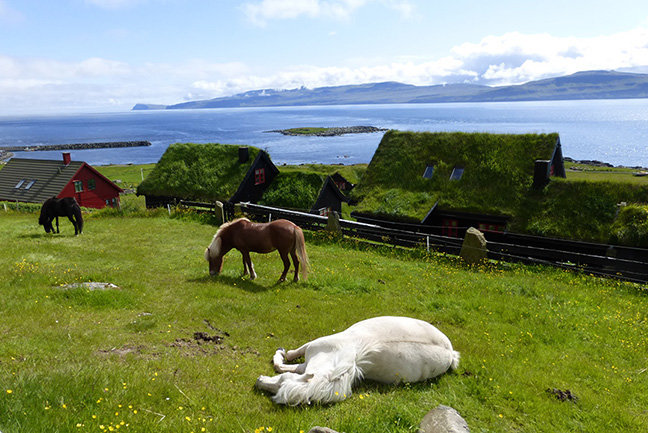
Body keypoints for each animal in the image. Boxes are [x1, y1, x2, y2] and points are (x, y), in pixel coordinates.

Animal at [256, 314, 458, 404]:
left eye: (281, 384)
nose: (258, 381)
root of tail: (451, 353)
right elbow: (289, 366)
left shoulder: (312, 348)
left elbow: (286, 361)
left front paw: (280, 352)